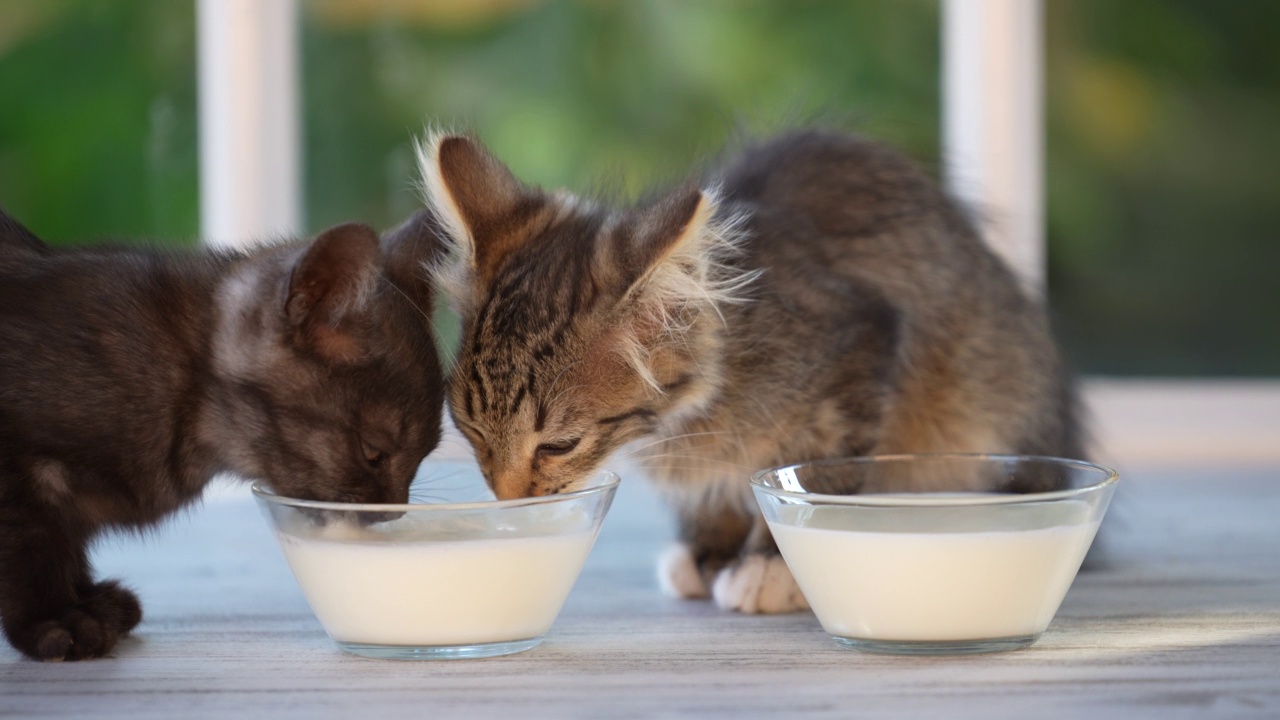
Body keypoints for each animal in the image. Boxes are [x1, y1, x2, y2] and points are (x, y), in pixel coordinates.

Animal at [0, 206, 445, 655]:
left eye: (425, 455)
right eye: (373, 452)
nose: (393, 511)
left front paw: (87, 600)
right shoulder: (19, 476)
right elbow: (31, 544)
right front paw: (57, 617)